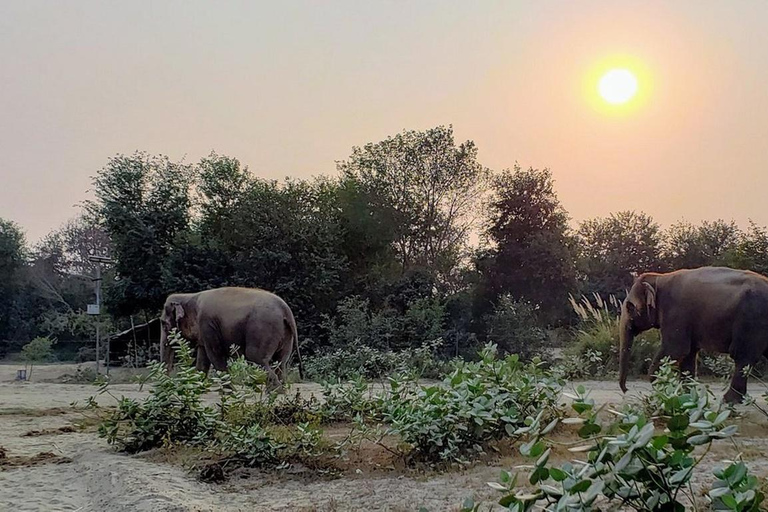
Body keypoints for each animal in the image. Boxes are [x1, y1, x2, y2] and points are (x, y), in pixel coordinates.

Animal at [159, 286, 304, 390]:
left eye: (163, 324)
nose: (169, 385)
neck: (190, 295)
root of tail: (286, 310)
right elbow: (203, 359)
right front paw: (196, 389)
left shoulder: (207, 324)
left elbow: (215, 355)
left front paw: (230, 391)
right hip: (285, 334)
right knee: (280, 361)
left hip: (263, 329)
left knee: (256, 357)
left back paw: (276, 391)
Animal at [616, 264, 768, 404]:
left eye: (629, 307)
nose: (626, 390)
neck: (659, 278)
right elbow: (688, 355)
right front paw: (686, 396)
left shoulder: (676, 313)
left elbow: (676, 349)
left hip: (752, 320)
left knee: (743, 356)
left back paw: (728, 400)